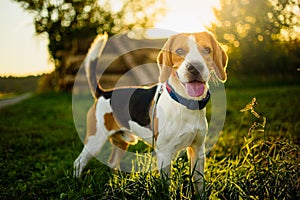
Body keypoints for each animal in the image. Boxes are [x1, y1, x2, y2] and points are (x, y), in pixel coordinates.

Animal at [73, 31, 227, 192]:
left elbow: (199, 184)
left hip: (122, 143)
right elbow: (166, 187)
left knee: (112, 162)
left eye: (207, 50)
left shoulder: (197, 150)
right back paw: (77, 184)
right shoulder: (164, 153)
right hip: (95, 140)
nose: (195, 67)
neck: (185, 103)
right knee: (79, 162)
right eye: (179, 51)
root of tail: (104, 93)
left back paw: (115, 185)